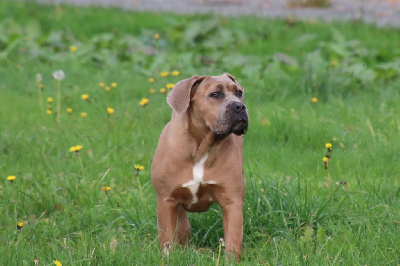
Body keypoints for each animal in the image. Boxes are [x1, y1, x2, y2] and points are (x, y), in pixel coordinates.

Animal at [152, 72, 248, 258]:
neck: (203, 148)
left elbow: (233, 239)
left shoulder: (232, 201)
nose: (239, 106)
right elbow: (166, 238)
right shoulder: (166, 200)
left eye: (239, 92)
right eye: (216, 94)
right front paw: (167, 257)